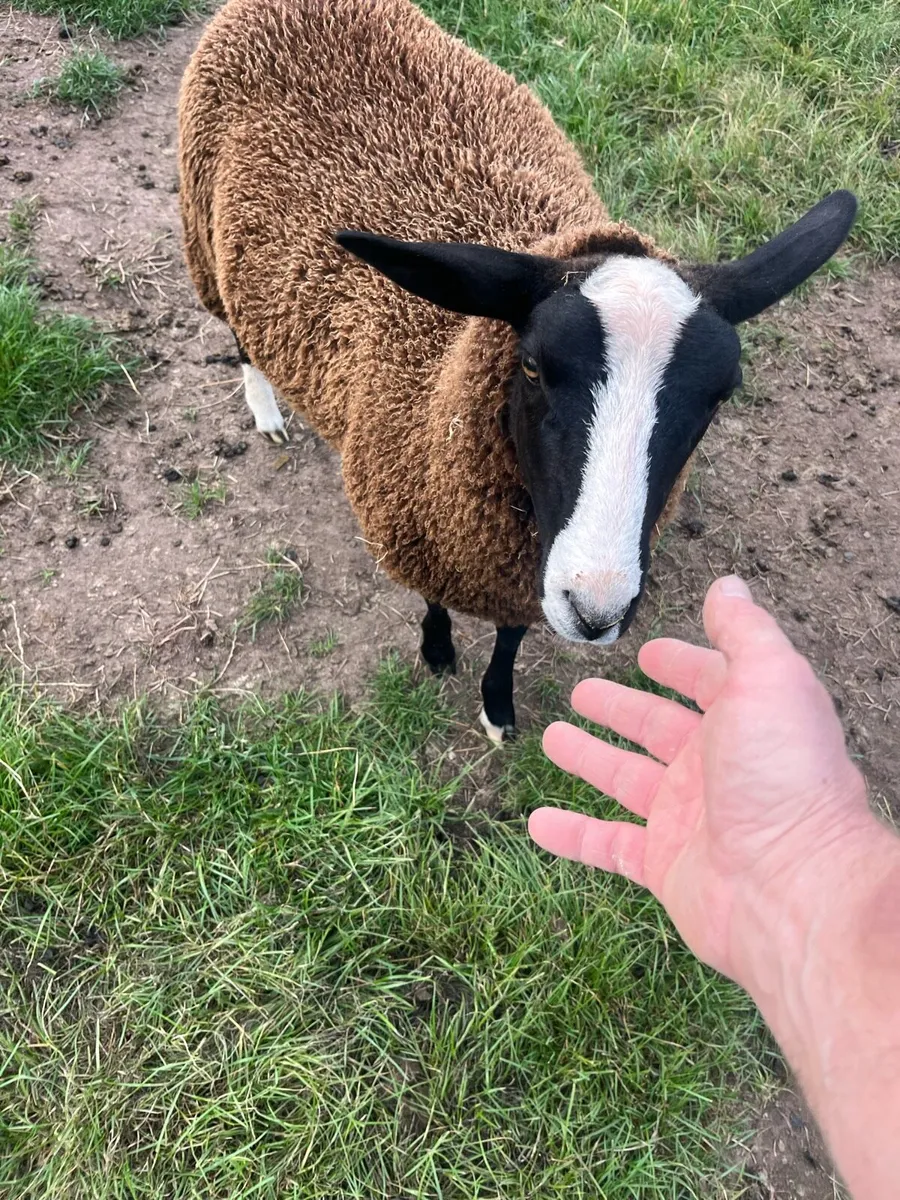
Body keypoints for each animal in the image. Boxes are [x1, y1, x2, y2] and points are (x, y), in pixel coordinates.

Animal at [178, 0, 857, 741]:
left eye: (721, 393)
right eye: (531, 367)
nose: (595, 611)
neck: (443, 377)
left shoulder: (516, 570)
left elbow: (509, 636)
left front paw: (497, 706)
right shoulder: (421, 529)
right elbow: (435, 602)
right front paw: (438, 652)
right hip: (205, 234)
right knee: (239, 331)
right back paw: (267, 411)